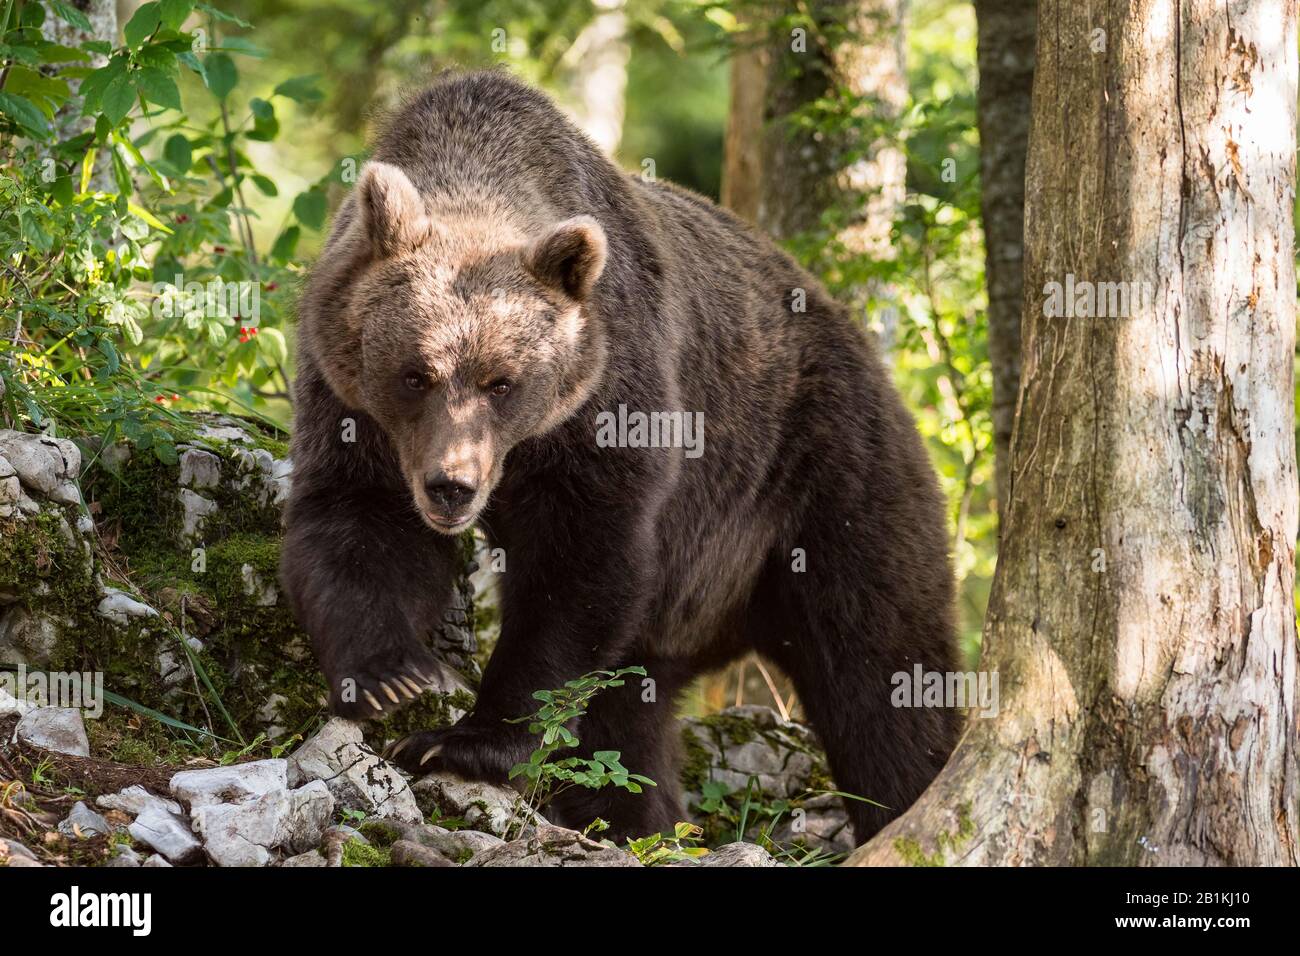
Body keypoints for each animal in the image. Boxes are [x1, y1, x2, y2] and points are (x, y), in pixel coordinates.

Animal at [282, 69, 956, 842]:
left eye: (502, 381)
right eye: (415, 373)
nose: (452, 486)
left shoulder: (613, 397)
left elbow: (580, 563)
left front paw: (466, 741)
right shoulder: (351, 403)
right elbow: (357, 520)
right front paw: (389, 676)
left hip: (825, 468)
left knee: (881, 667)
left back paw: (909, 797)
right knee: (632, 715)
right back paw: (638, 817)